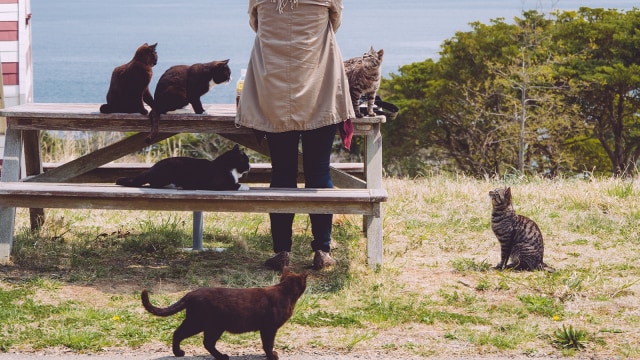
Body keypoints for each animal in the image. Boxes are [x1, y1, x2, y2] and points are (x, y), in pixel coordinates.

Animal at [116, 144, 251, 191]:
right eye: (246, 161)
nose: (250, 166)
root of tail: (151, 168)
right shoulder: (217, 184)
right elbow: (234, 185)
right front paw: (245, 186)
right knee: (153, 183)